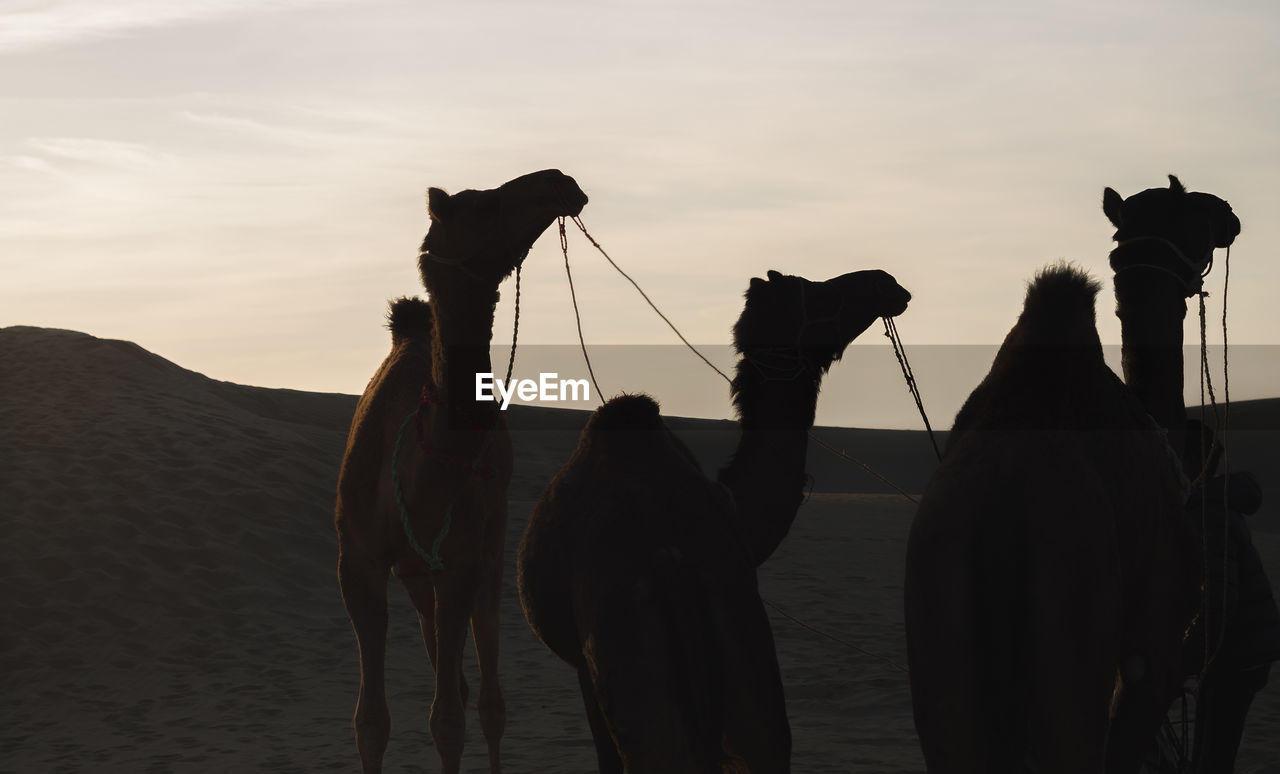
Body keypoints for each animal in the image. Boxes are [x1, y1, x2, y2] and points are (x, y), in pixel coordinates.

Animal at [332, 168, 586, 772]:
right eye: (483, 205)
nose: (561, 180)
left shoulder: (459, 561)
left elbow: (447, 720)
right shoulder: (358, 561)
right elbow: (370, 722)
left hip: (488, 549)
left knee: (487, 698)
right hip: (416, 574)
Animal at [517, 268, 911, 767]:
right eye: (816, 290)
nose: (888, 282)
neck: (733, 505)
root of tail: (670, 563)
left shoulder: (586, 674)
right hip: (747, 677)